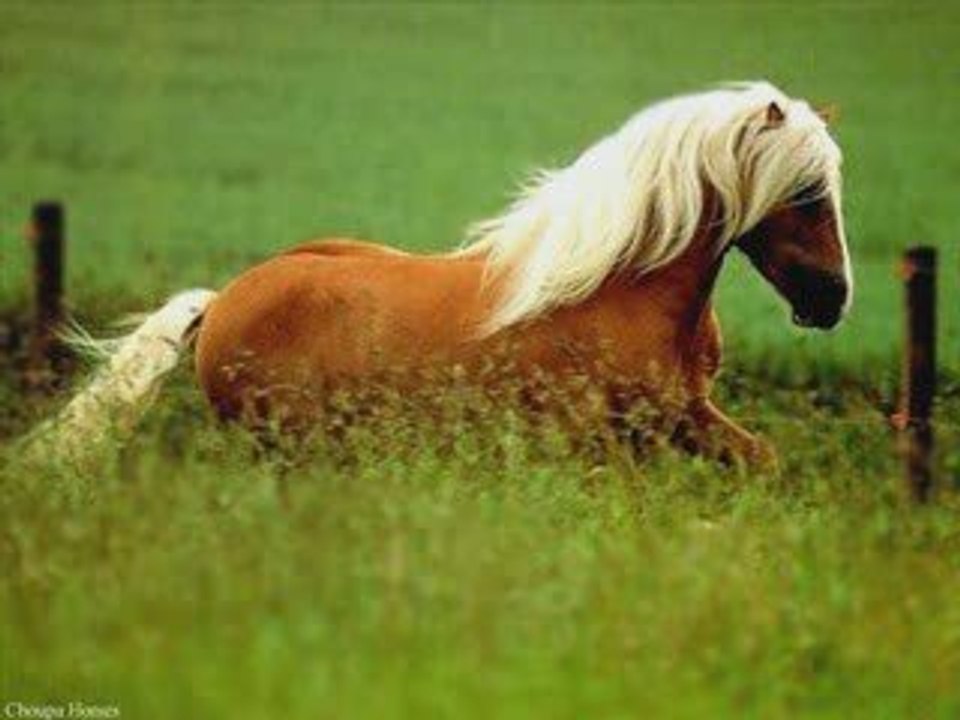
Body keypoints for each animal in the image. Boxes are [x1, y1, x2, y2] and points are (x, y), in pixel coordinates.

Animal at [37, 81, 851, 469]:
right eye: (809, 191)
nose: (835, 300)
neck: (625, 290)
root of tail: (225, 299)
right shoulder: (599, 437)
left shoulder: (680, 416)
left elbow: (763, 463)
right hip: (291, 445)